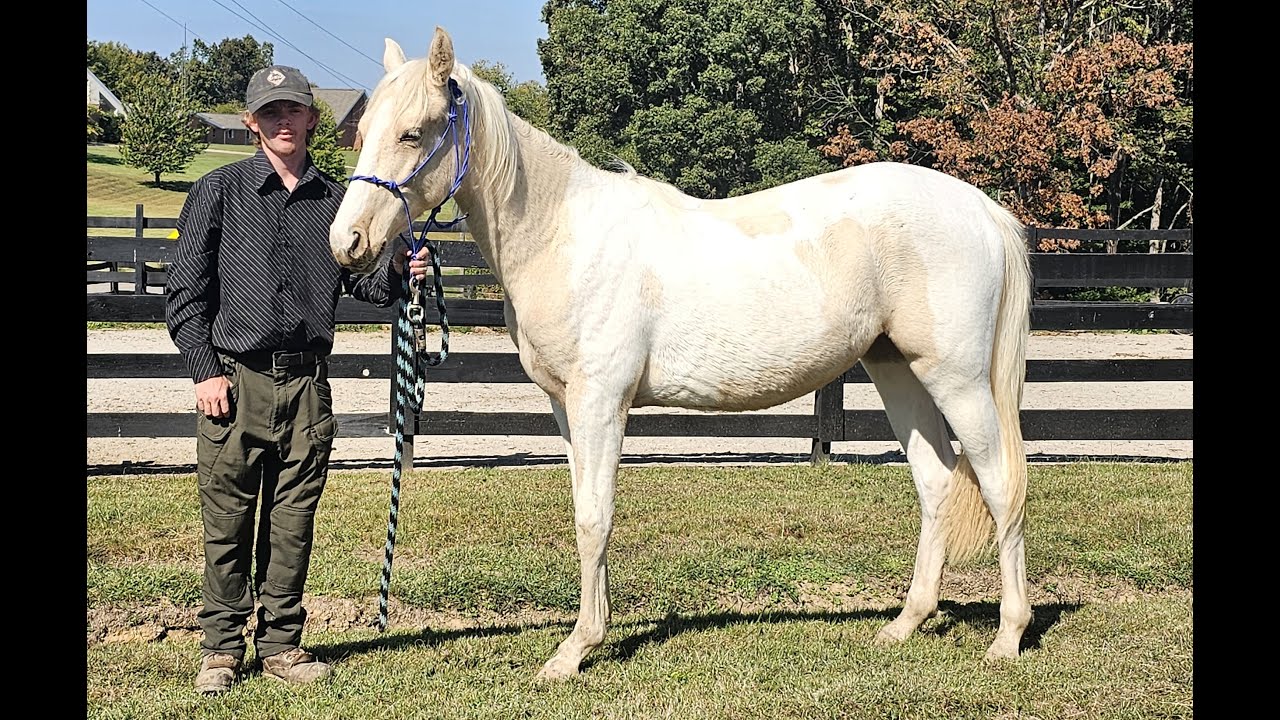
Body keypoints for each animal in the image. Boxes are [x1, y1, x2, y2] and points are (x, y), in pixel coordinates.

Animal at [330, 26, 1034, 680]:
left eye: (414, 133)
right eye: (362, 131)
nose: (348, 242)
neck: (563, 234)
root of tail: (982, 210)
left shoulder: (601, 402)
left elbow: (596, 517)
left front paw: (574, 651)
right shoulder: (566, 407)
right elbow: (585, 510)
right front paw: (587, 637)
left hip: (959, 380)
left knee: (1001, 485)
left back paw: (1008, 636)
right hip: (897, 369)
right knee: (936, 483)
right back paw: (905, 624)